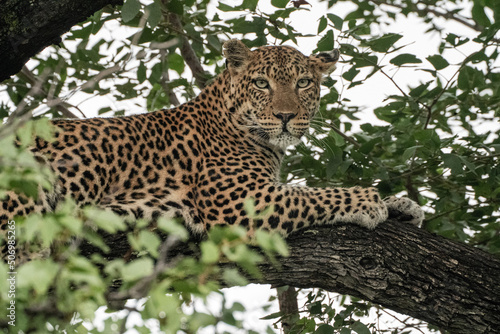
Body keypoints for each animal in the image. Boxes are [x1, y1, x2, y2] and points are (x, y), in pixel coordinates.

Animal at [0, 38, 424, 258]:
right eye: (262, 83)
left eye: (303, 83)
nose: (286, 116)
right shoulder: (240, 201)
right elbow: (312, 194)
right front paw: (369, 201)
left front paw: (402, 205)